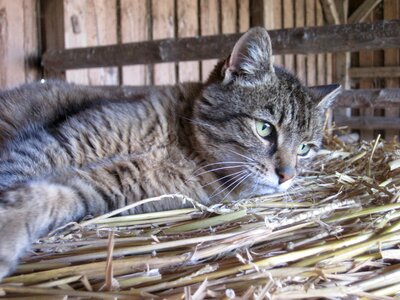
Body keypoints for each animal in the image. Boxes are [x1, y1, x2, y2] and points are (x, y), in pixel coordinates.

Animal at [0, 27, 340, 280]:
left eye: (305, 149)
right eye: (264, 128)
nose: (287, 176)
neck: (181, 145)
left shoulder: (106, 186)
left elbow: (50, 195)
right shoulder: (59, 143)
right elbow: (15, 173)